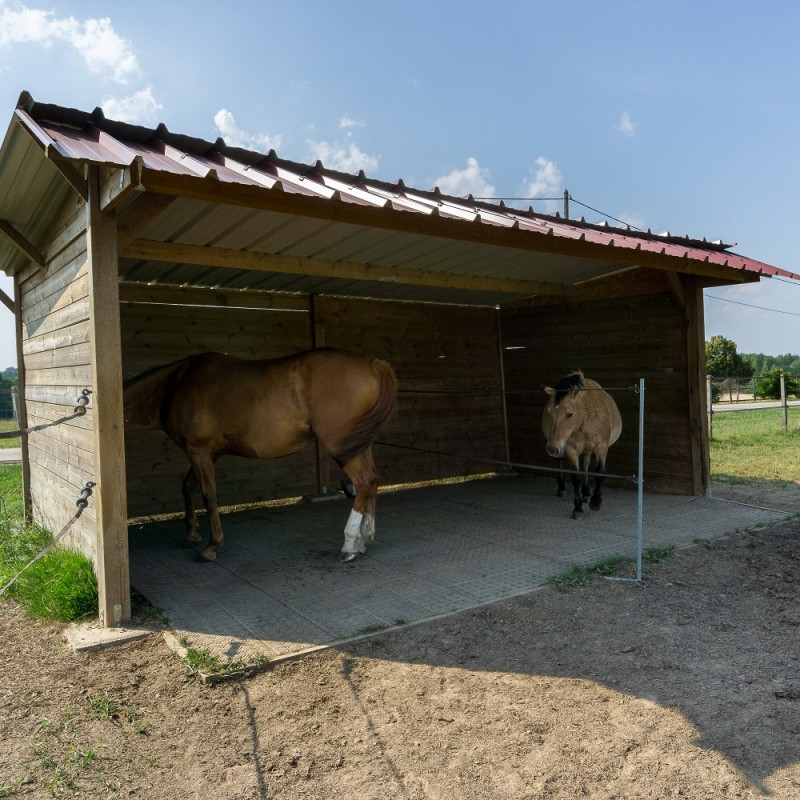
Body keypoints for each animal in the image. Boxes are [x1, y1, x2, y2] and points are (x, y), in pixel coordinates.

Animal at [124, 348, 396, 564]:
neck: (175, 385)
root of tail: (373, 363)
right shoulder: (208, 454)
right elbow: (187, 487)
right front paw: (191, 533)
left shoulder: (198, 451)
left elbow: (209, 496)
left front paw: (212, 546)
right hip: (359, 445)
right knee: (372, 481)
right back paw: (364, 538)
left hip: (342, 445)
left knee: (364, 482)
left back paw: (350, 544)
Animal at [540, 374, 620, 520]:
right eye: (550, 412)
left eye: (569, 414)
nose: (552, 449)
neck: (586, 419)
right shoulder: (570, 449)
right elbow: (576, 478)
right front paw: (577, 509)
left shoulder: (601, 446)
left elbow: (599, 472)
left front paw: (596, 502)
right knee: (561, 463)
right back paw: (562, 489)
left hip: (588, 450)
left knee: (586, 465)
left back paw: (587, 493)